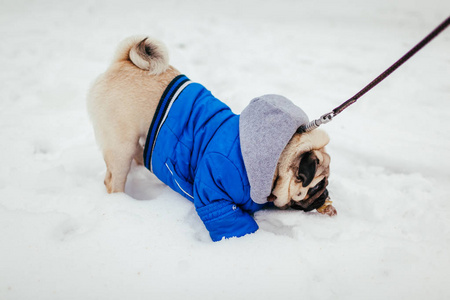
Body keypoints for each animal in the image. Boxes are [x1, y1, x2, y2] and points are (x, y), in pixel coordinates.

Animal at [86, 35, 336, 241]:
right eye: (316, 186)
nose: (325, 195)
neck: (274, 161)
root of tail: (122, 62)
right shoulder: (214, 192)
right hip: (121, 145)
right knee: (113, 179)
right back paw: (121, 202)